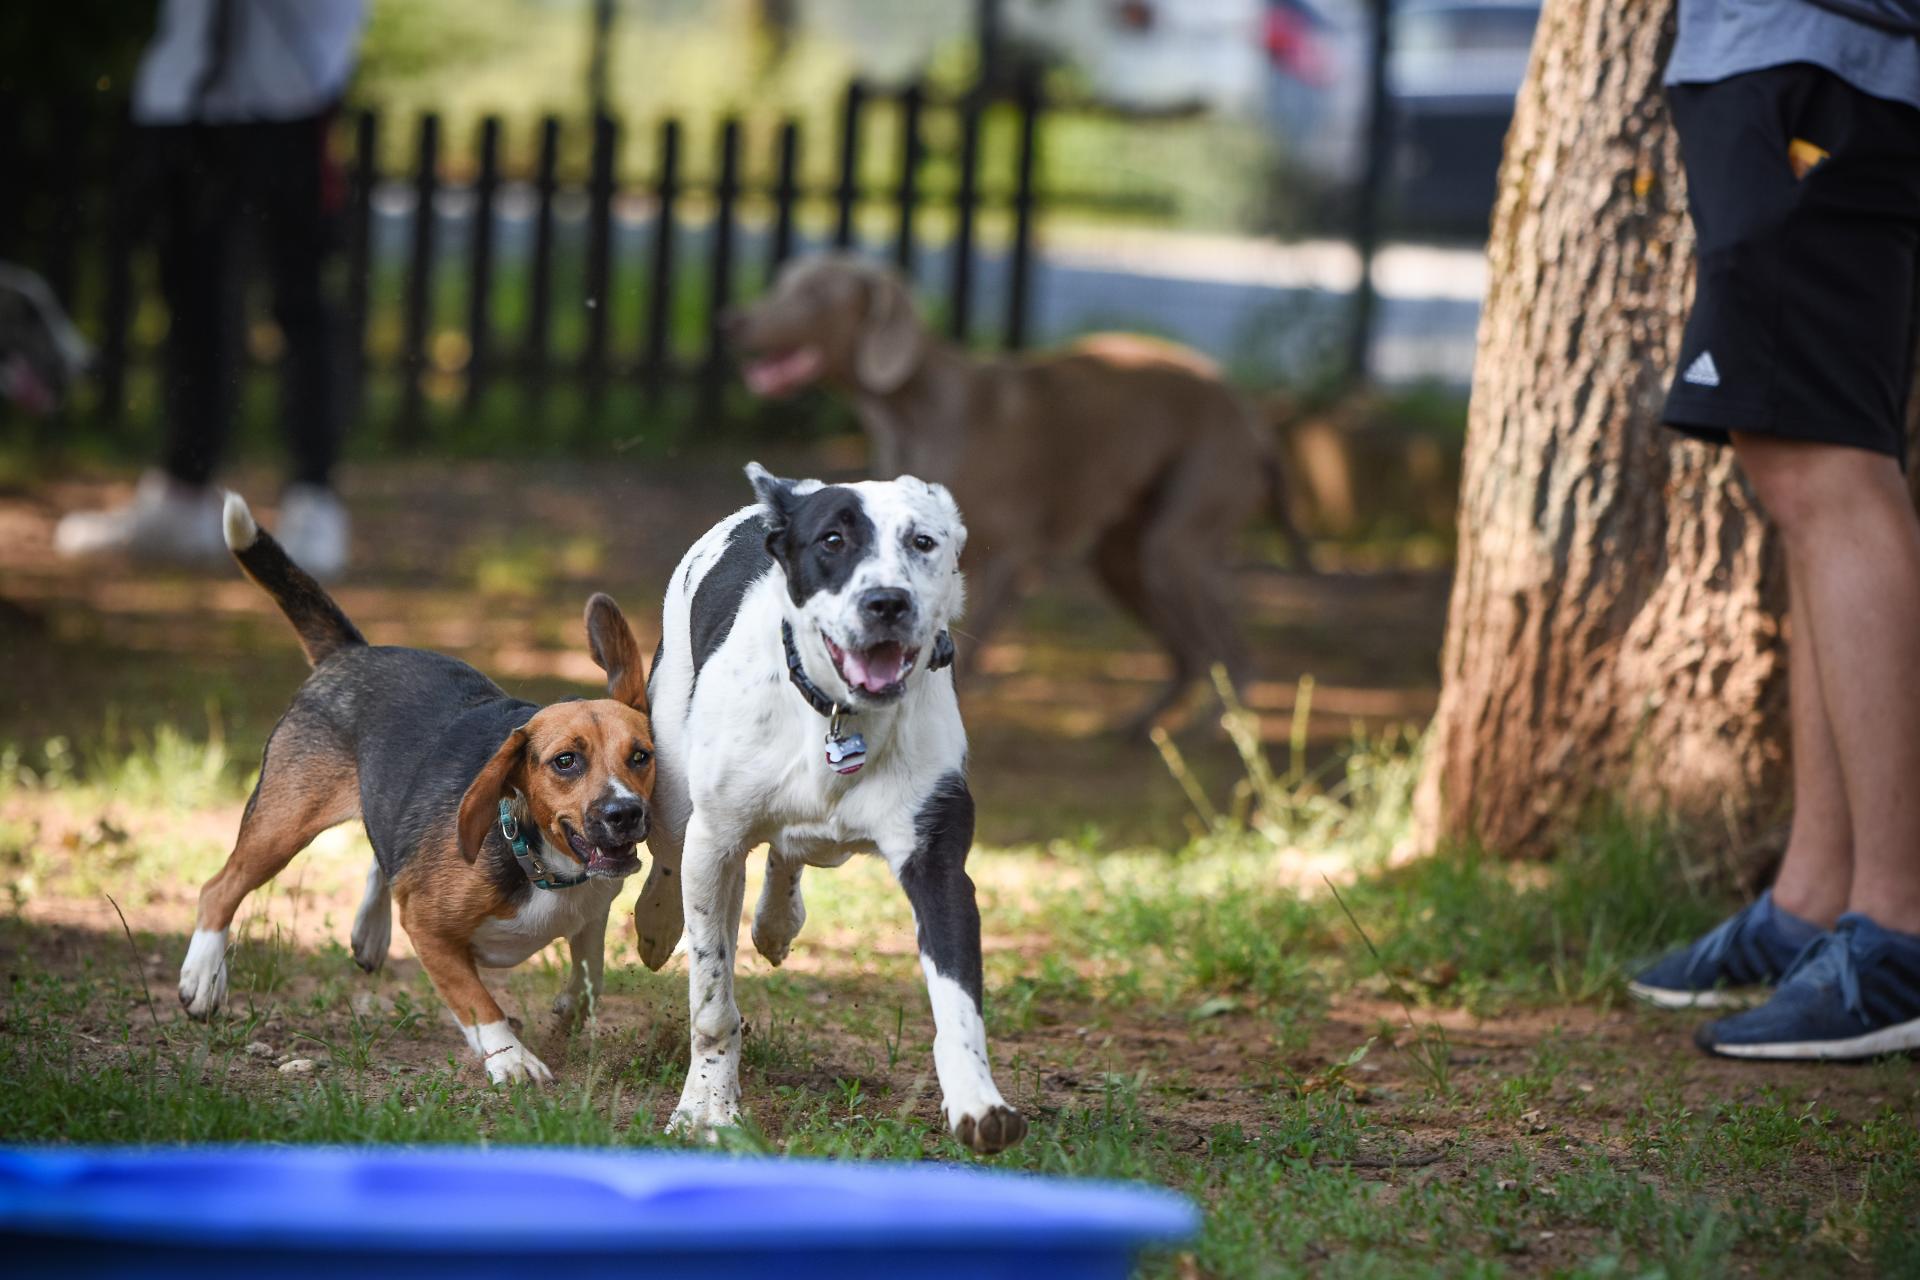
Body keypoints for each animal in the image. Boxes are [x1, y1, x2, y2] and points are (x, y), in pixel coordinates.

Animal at [633, 466, 1029, 1159]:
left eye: (923, 541)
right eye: (833, 540)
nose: (887, 602)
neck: (842, 715)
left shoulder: (937, 859)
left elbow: (958, 1000)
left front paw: (978, 1103)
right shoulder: (715, 841)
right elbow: (712, 1002)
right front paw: (705, 1111)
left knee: (791, 853)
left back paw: (775, 921)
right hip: (678, 779)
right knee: (671, 855)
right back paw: (657, 924)